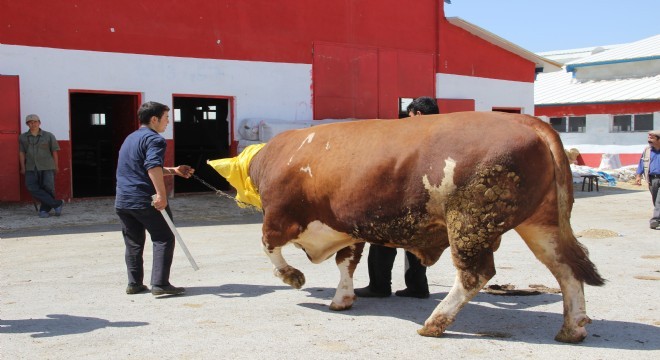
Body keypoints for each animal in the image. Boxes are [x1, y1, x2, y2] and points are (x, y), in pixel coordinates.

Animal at [244, 111, 604, 342]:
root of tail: (525, 120)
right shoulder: (348, 227)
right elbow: (347, 263)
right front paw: (342, 299)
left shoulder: (278, 216)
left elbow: (268, 247)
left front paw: (293, 277)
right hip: (542, 224)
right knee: (566, 268)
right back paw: (572, 329)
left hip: (469, 223)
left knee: (475, 274)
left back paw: (434, 323)